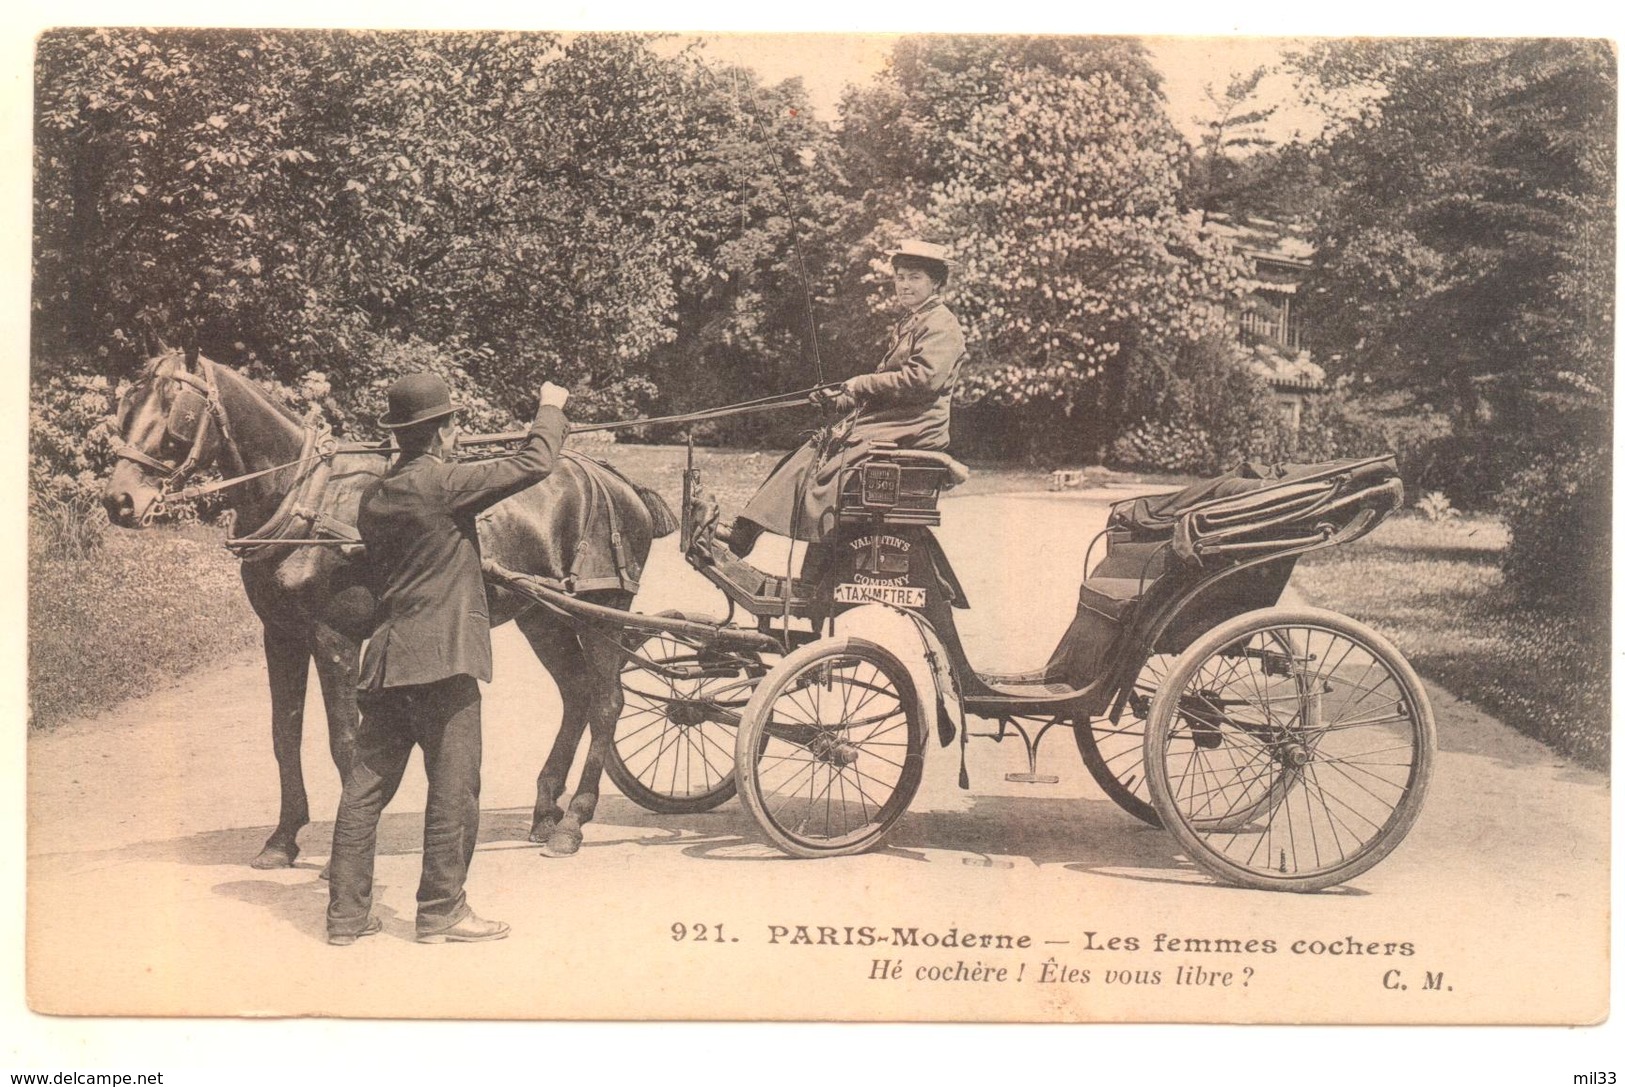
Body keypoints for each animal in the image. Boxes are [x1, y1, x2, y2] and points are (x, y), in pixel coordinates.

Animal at [101, 347, 676, 864]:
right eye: (126, 406)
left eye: (174, 411)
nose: (119, 501)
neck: (303, 499)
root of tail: (618, 481)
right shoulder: (280, 636)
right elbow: (284, 734)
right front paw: (282, 840)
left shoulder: (334, 638)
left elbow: (343, 739)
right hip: (543, 615)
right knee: (577, 694)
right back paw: (545, 811)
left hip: (602, 610)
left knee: (607, 702)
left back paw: (574, 822)